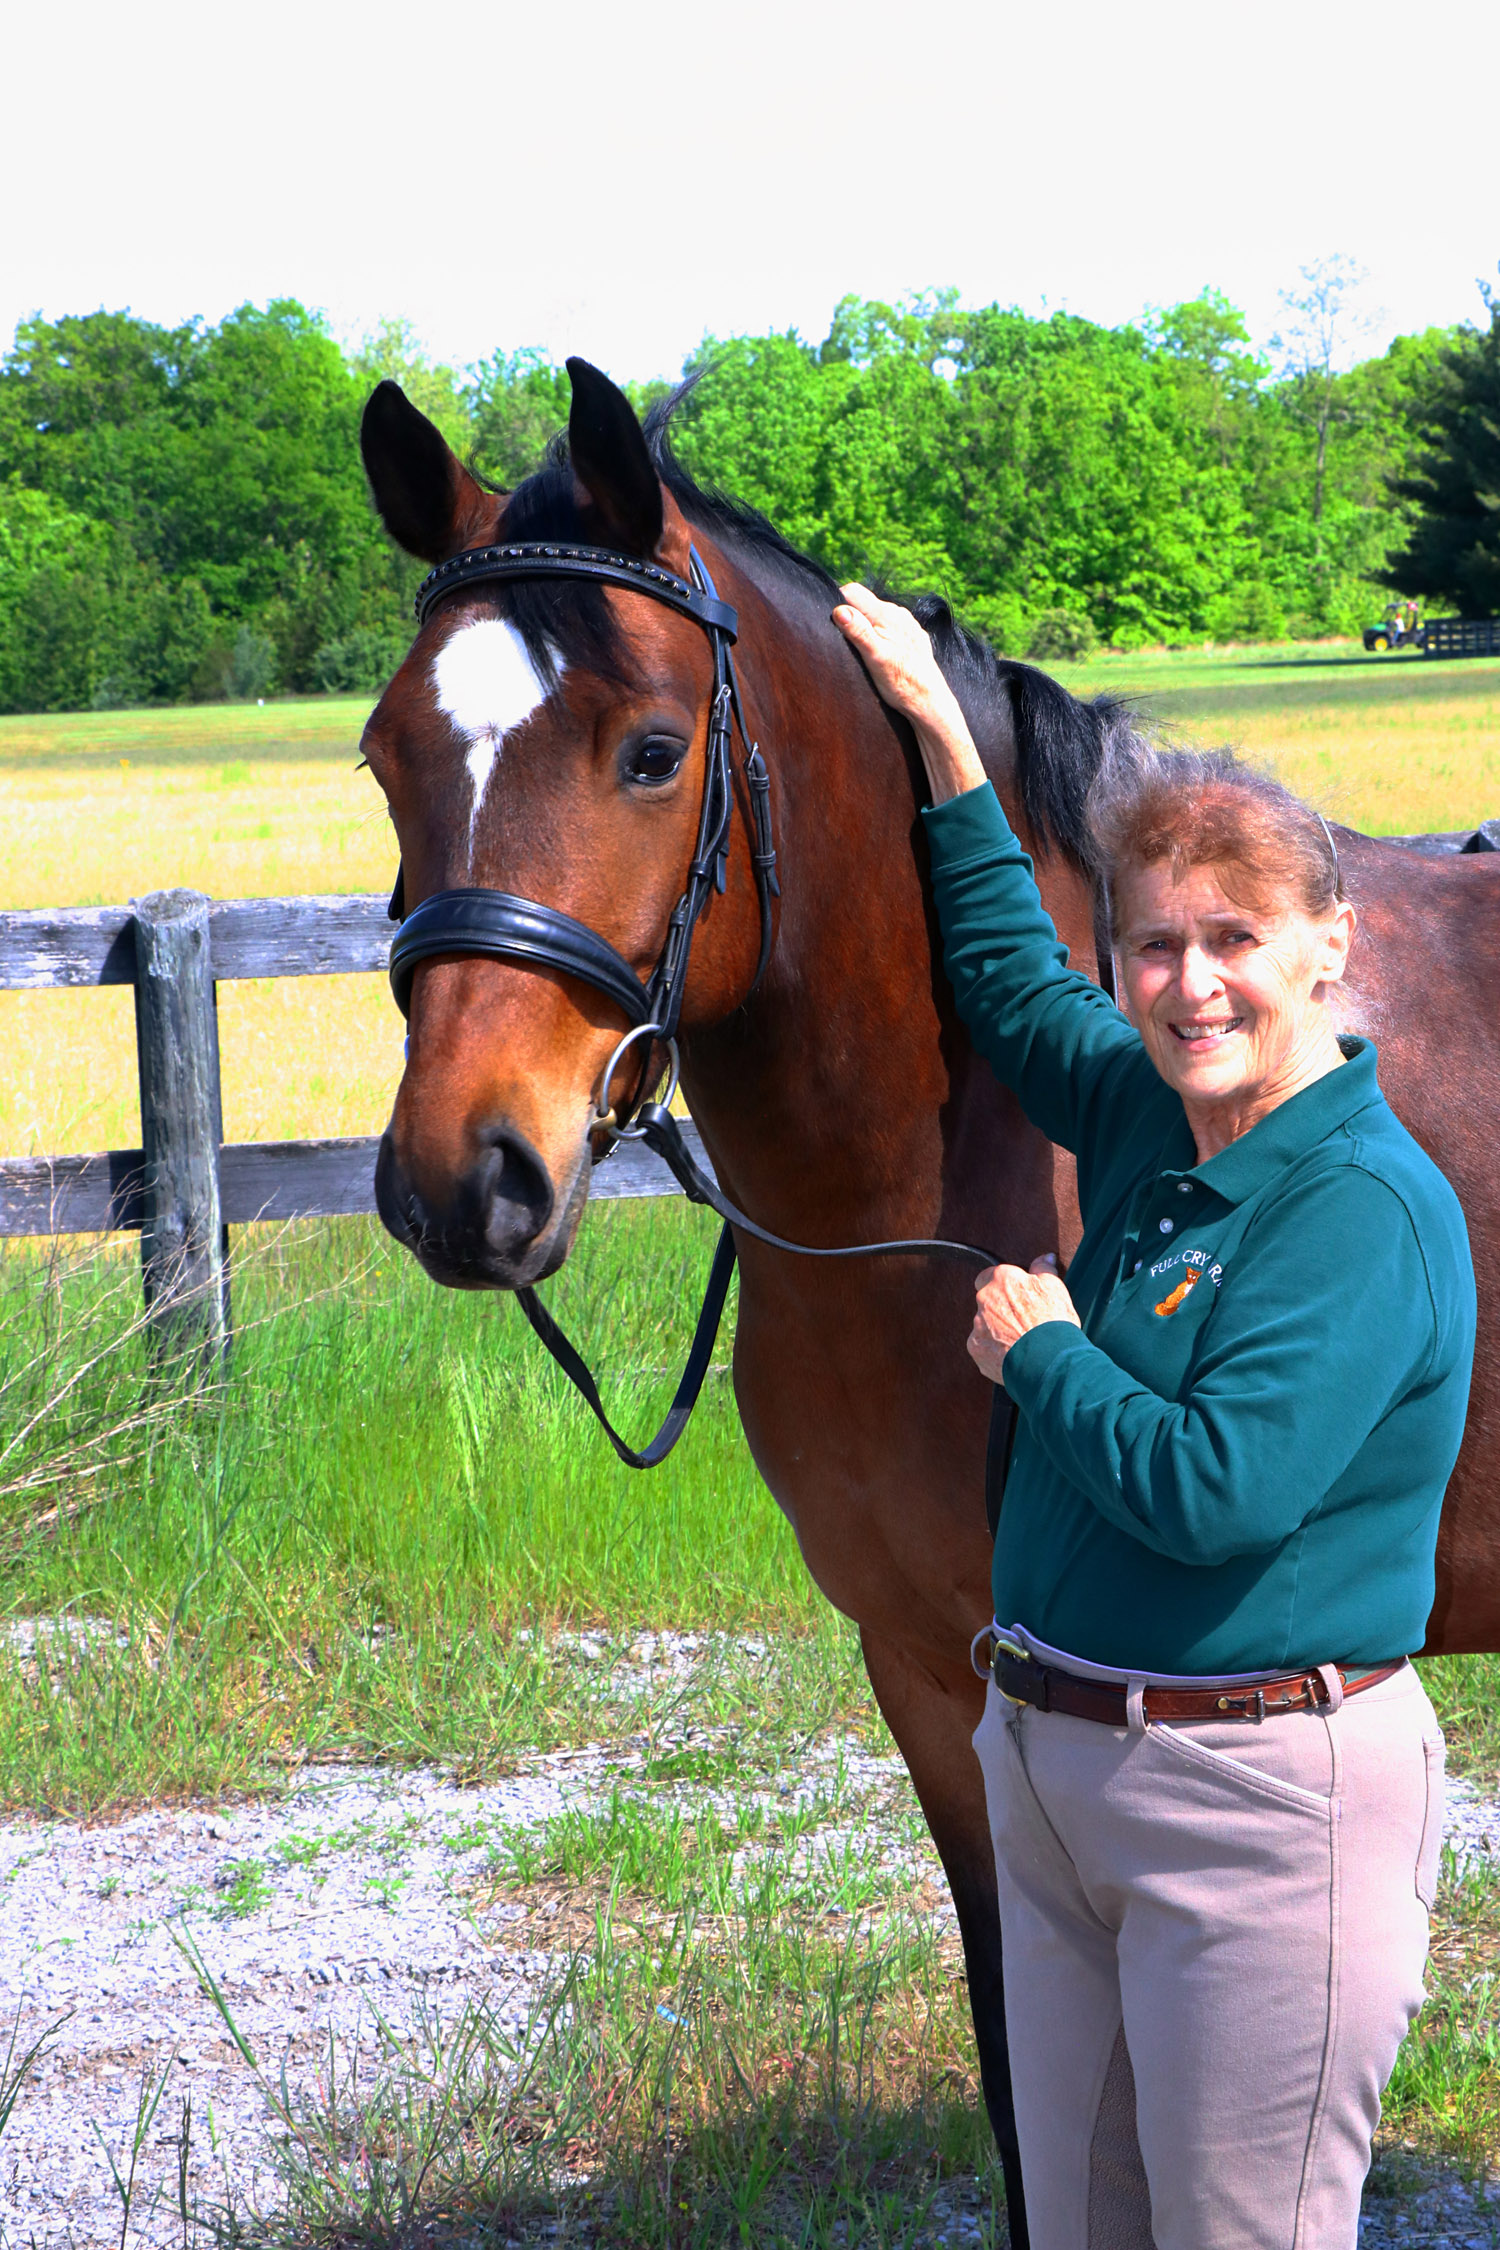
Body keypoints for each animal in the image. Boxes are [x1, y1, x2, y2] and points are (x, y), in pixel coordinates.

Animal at [356, 356, 1500, 2244]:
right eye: (387, 755)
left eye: (651, 750)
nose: (467, 1179)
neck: (947, 1151)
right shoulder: (930, 1672)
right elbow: (1025, 2067)